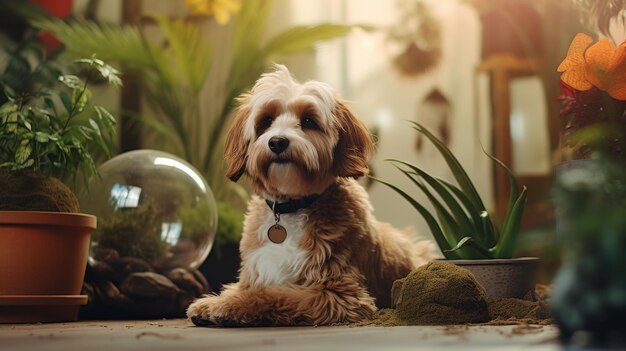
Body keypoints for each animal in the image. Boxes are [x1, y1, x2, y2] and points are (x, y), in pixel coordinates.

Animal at [185, 65, 434, 328]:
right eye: (266, 121)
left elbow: (271, 294)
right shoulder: (253, 273)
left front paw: (226, 307)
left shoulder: (338, 293)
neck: (290, 208)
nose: (277, 142)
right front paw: (213, 302)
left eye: (308, 121)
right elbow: (244, 288)